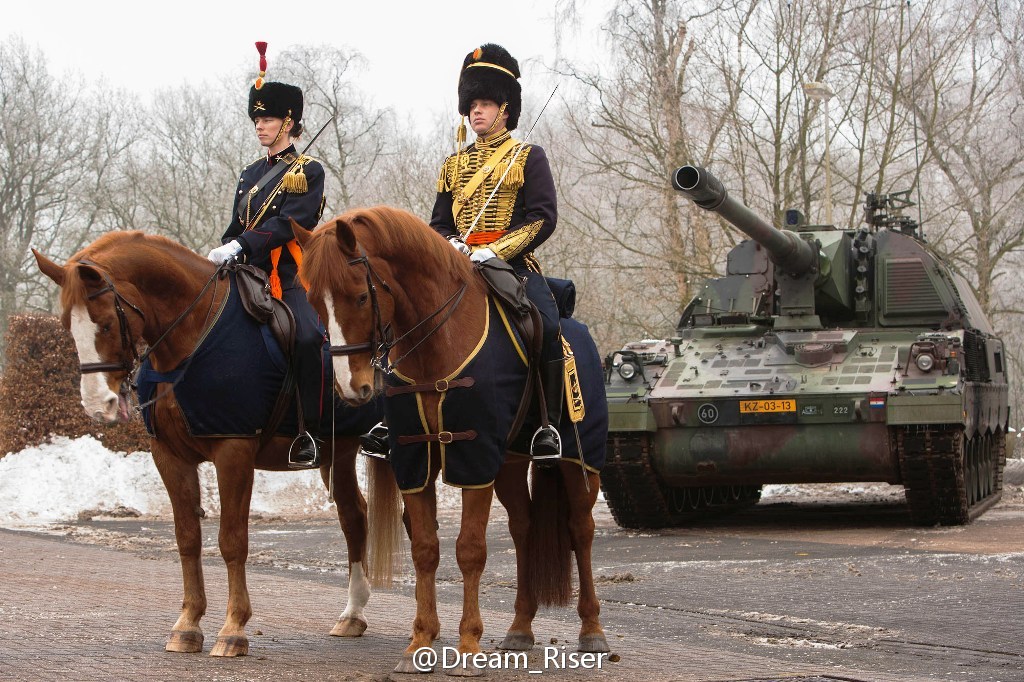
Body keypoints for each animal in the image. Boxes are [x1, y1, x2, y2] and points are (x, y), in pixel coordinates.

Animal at [34, 231, 397, 655]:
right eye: (65, 324)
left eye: (106, 324)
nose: (97, 406)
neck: (191, 338)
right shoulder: (169, 456)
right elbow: (188, 537)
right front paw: (188, 624)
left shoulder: (233, 450)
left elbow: (232, 540)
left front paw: (233, 628)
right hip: (338, 451)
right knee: (353, 515)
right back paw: (352, 614)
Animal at [292, 204, 606, 671]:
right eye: (314, 302)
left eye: (361, 296)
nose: (351, 387)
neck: (436, 342)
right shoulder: (414, 458)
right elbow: (425, 548)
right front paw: (419, 642)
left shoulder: (473, 454)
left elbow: (470, 548)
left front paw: (469, 644)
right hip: (510, 463)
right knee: (524, 527)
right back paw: (520, 627)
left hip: (580, 461)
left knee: (581, 530)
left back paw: (591, 630)